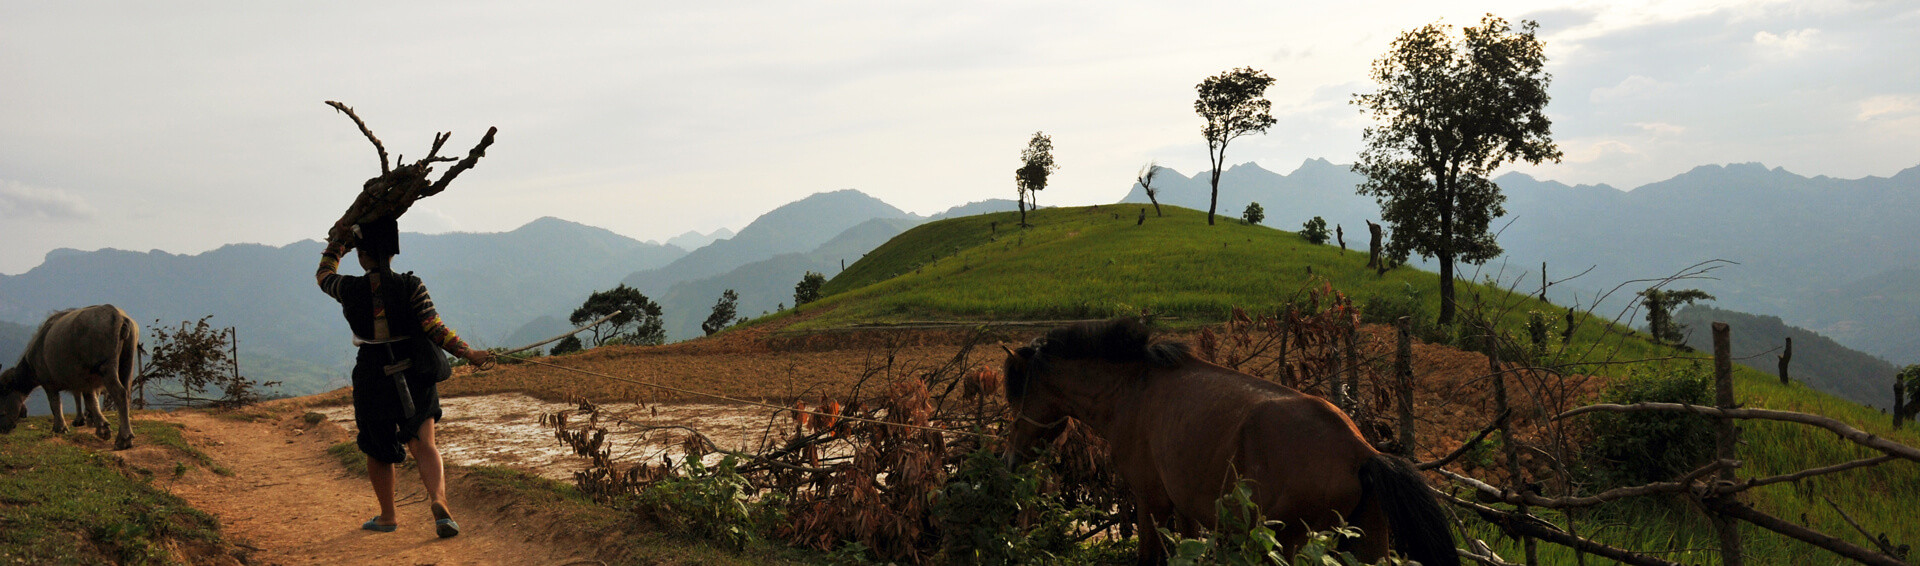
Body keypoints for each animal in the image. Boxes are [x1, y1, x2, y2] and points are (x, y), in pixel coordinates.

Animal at [1, 305, 141, 450]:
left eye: (3, 393)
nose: (2, 428)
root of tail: (120, 316)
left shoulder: (48, 383)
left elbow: (55, 403)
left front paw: (60, 428)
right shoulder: (85, 381)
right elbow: (90, 400)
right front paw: (101, 428)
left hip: (106, 367)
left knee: (119, 393)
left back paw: (124, 439)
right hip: (127, 362)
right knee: (127, 393)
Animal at [1003, 318, 1456, 565]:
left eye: (1018, 393)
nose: (1009, 459)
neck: (1134, 388)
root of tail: (1364, 453)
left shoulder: (1151, 500)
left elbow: (1150, 557)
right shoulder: (1182, 506)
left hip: (1284, 542)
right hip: (1366, 540)